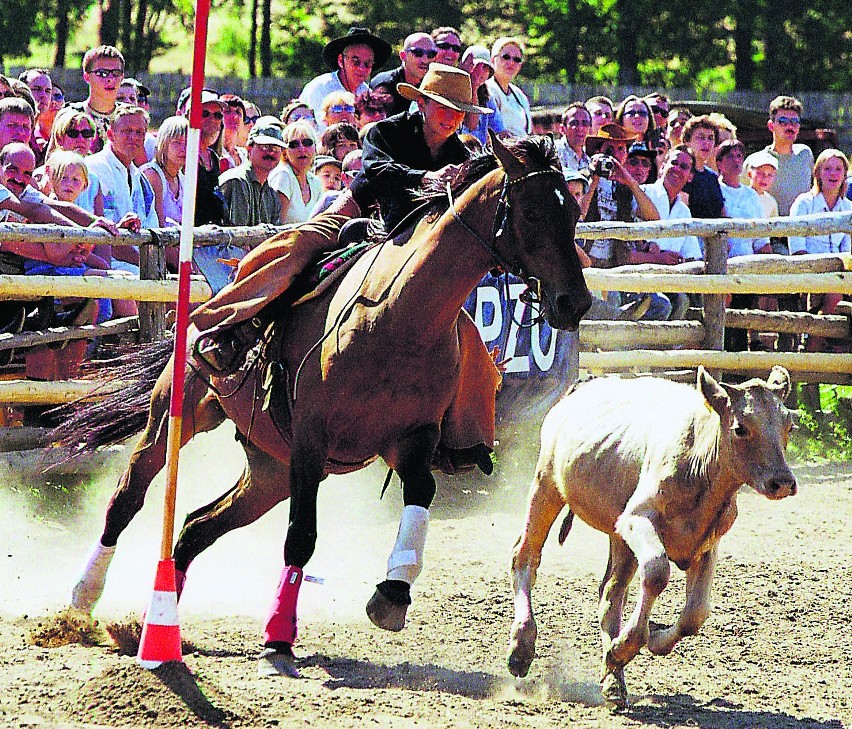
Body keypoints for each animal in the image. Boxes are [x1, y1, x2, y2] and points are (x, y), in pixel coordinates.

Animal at [63, 134, 592, 672]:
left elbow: (421, 493)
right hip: (178, 413)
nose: (575, 302)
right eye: (530, 212)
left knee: (195, 527)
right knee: (128, 497)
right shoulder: (311, 442)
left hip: (269, 469)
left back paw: (157, 623)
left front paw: (392, 593)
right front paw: (278, 638)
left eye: (572, 214)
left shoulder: (412, 438)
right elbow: (301, 535)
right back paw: (83, 599)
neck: (398, 316)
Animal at [502, 366, 796, 708]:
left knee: (610, 591)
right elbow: (657, 573)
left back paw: (613, 679)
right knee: (525, 555)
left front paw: (645, 643)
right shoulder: (636, 519)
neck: (699, 462)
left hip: (617, 537)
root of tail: (581, 386)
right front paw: (627, 645)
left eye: (789, 425)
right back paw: (522, 648)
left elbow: (695, 612)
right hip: (546, 484)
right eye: (740, 428)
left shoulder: (707, 545)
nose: (783, 482)